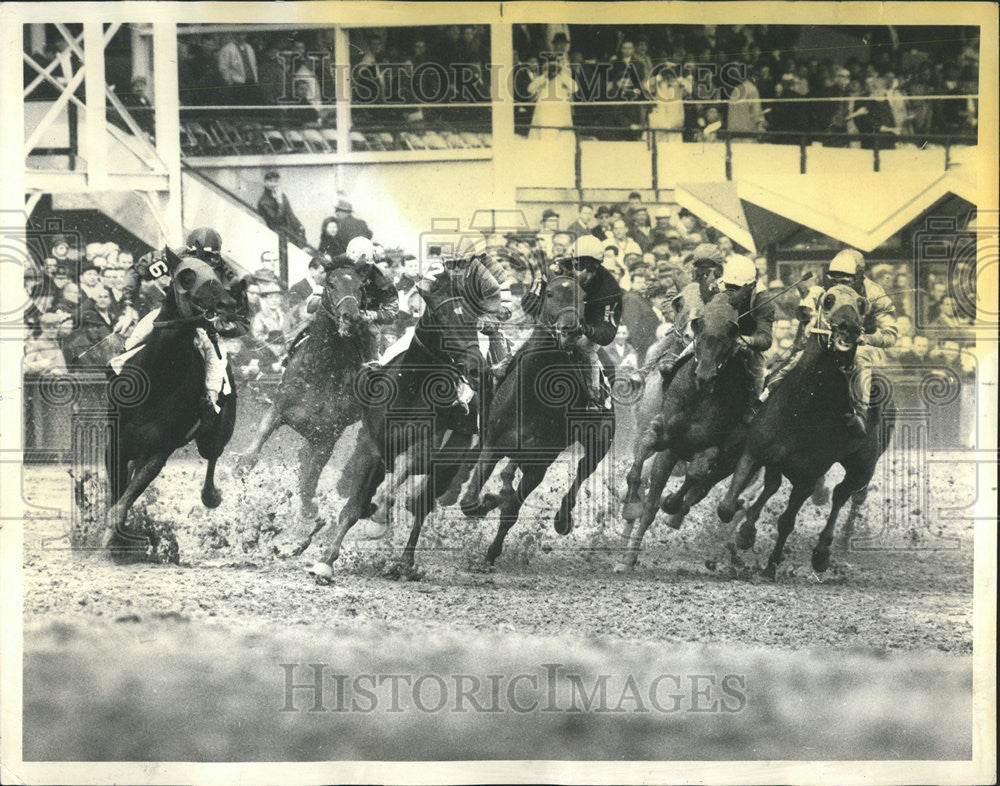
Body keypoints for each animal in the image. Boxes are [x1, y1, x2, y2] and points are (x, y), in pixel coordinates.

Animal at [104, 254, 238, 556]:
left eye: (217, 275)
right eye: (186, 276)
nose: (227, 304)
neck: (158, 377)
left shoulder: (159, 449)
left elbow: (121, 504)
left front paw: (115, 540)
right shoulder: (117, 443)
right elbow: (118, 496)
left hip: (215, 434)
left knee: (212, 456)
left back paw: (211, 495)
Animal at [235, 264, 368, 520]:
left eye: (359, 287)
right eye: (331, 284)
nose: (351, 317)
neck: (320, 372)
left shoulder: (328, 435)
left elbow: (312, 476)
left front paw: (309, 508)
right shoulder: (279, 407)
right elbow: (260, 437)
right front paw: (242, 465)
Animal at [458, 276, 612, 564]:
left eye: (583, 297)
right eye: (550, 293)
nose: (571, 331)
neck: (532, 397)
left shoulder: (539, 465)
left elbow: (510, 510)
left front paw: (491, 552)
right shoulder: (493, 445)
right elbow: (470, 502)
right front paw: (489, 501)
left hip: (599, 443)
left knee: (582, 471)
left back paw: (562, 518)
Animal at [612, 286, 752, 568]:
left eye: (731, 332)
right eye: (681, 305)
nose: (689, 335)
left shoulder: (708, 449)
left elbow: (695, 474)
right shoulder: (655, 432)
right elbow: (643, 471)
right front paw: (630, 502)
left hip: (728, 459)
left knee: (701, 486)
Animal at [716, 284, 896, 576]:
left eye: (861, 304)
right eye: (828, 300)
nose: (848, 329)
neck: (802, 407)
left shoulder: (808, 476)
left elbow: (786, 521)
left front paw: (772, 563)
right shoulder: (755, 450)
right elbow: (727, 506)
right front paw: (744, 532)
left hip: (863, 464)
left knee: (842, 494)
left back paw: (823, 552)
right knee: (774, 485)